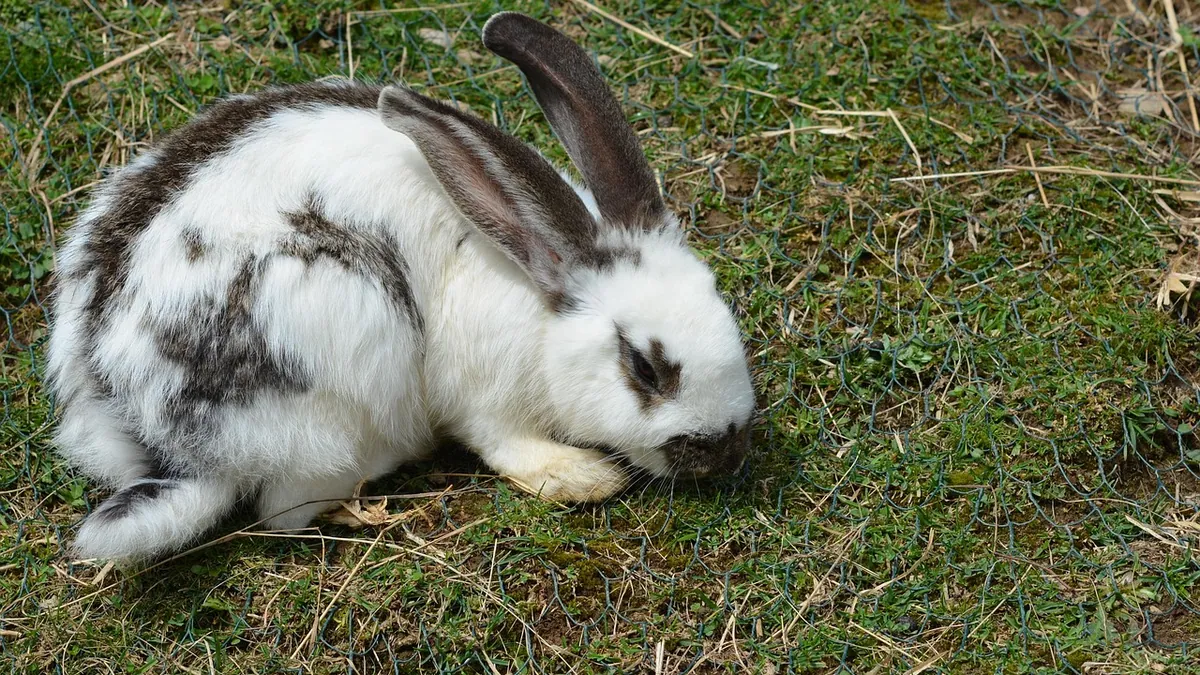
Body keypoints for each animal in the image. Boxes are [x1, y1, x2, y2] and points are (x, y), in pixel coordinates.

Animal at [44, 11, 756, 563]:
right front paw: (581, 476)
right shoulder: (481, 393)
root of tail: (164, 442)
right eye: (644, 367)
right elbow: (503, 442)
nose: (726, 450)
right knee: (284, 508)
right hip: (347, 338)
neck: (537, 279)